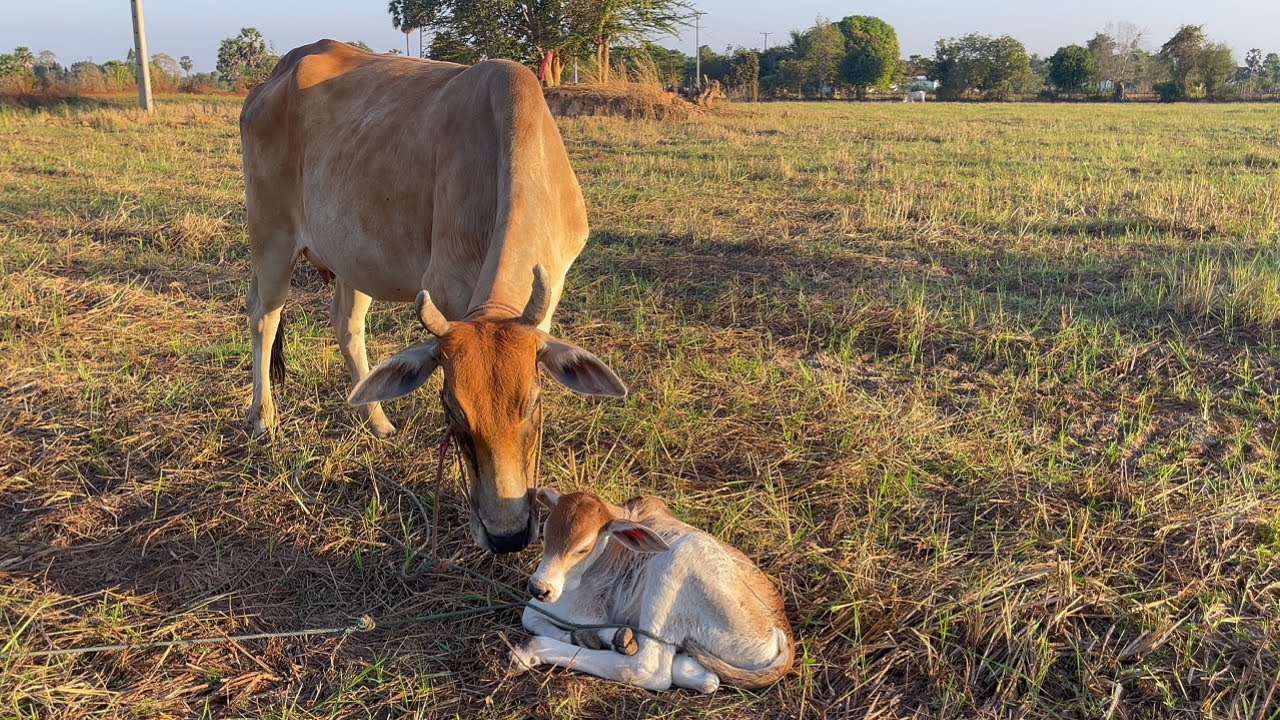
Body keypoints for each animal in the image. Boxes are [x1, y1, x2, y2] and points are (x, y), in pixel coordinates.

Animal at [239, 40, 626, 554]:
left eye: (533, 403)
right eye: (452, 409)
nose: (506, 535)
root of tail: (274, 77)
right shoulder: (446, 286)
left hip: (352, 256)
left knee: (346, 325)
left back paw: (377, 422)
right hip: (271, 235)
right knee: (264, 316)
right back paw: (264, 419)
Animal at [509, 488, 794, 692]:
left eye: (583, 548)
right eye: (545, 534)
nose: (538, 586)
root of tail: (781, 631)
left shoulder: (585, 608)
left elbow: (530, 613)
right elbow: (531, 615)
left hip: (676, 558)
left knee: (647, 670)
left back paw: (531, 651)